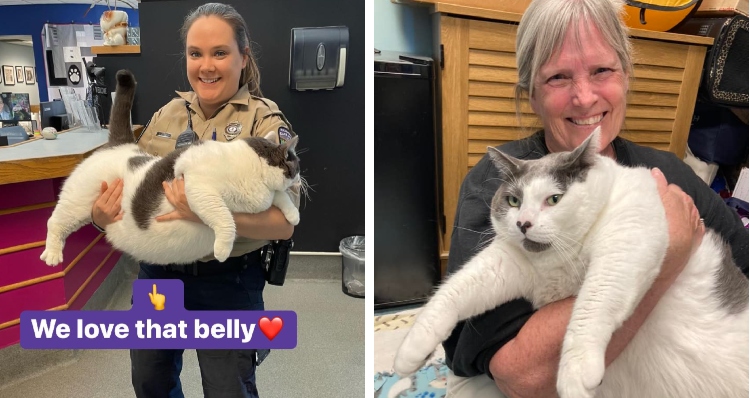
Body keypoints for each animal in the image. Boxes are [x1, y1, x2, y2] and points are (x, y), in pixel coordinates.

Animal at [40, 70, 300, 266]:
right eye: (295, 165)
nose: (300, 178)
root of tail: (121, 144)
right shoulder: (200, 191)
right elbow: (225, 218)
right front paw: (223, 249)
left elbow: (281, 197)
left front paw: (293, 215)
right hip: (76, 202)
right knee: (55, 222)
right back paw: (52, 254)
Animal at [396, 128, 748, 398]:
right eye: (514, 200)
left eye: (554, 199)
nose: (523, 223)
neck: (562, 257)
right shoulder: (506, 264)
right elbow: (454, 290)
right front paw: (410, 351)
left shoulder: (628, 239)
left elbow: (594, 302)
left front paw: (575, 373)